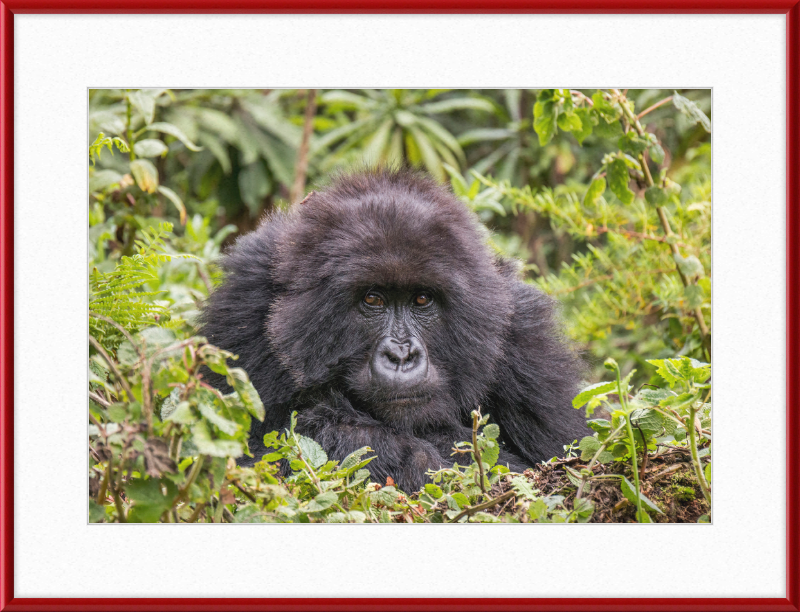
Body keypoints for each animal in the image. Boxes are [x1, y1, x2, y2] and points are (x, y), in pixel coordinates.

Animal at [199, 169, 584, 492]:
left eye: (422, 299)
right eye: (373, 299)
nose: (401, 355)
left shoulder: (526, 339)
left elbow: (561, 463)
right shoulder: (243, 308)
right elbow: (243, 462)